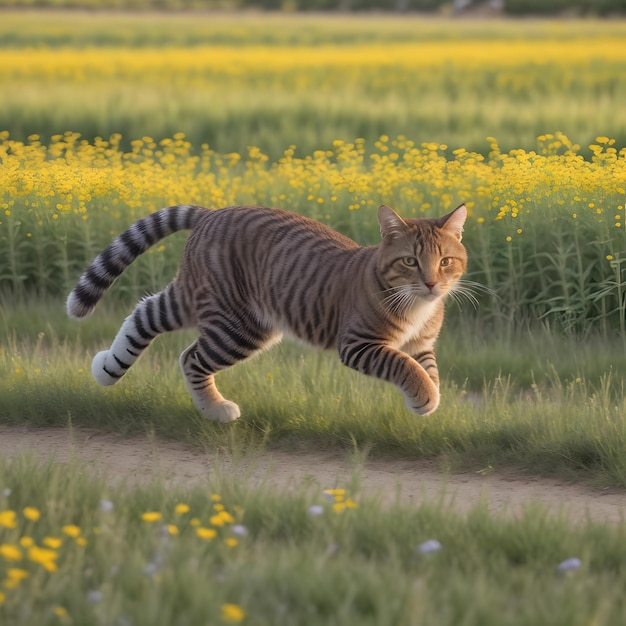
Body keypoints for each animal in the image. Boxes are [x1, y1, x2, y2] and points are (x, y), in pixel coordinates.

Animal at [66, 202, 466, 422]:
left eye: (446, 261)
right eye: (411, 261)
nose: (432, 283)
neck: (419, 305)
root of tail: (213, 212)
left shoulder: (421, 343)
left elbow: (427, 368)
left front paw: (429, 397)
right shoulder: (359, 344)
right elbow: (405, 366)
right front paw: (425, 398)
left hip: (198, 303)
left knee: (145, 313)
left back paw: (106, 369)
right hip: (237, 326)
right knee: (190, 357)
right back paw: (215, 410)